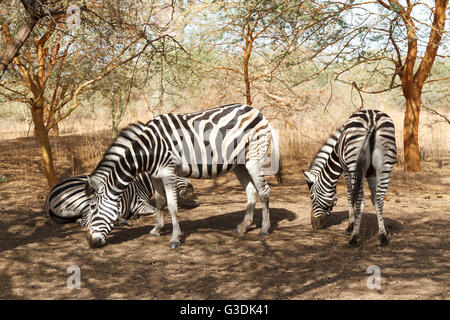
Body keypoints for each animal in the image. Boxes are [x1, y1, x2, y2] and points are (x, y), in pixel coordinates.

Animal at [43, 171, 194, 226]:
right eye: (177, 174)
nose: (191, 189)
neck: (140, 184)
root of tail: (50, 193)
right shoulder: (139, 204)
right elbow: (156, 210)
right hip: (86, 200)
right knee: (86, 222)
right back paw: (120, 220)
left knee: (80, 220)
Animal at [84, 104, 282, 249]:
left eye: (93, 208)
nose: (90, 242)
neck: (147, 149)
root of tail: (257, 111)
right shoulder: (155, 175)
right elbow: (160, 202)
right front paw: (156, 230)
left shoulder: (168, 172)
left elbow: (172, 206)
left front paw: (175, 238)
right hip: (240, 164)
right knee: (251, 192)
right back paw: (243, 226)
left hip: (254, 158)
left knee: (264, 191)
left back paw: (264, 229)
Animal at [302, 109, 398, 246]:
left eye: (312, 198)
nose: (314, 225)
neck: (336, 151)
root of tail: (372, 118)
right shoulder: (372, 173)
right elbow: (375, 198)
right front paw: (383, 230)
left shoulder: (346, 170)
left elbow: (349, 195)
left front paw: (350, 226)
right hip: (384, 166)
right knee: (379, 198)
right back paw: (383, 238)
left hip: (354, 164)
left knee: (360, 200)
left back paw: (354, 237)